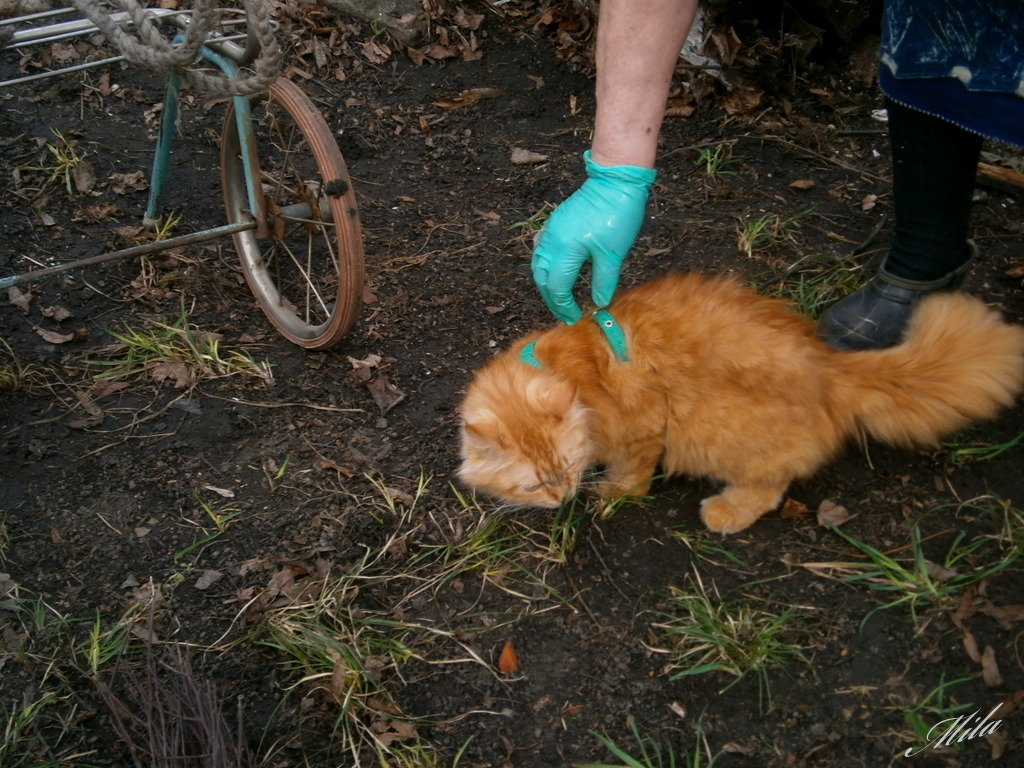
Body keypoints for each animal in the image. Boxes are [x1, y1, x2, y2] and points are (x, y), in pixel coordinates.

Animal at [460, 274, 1024, 536]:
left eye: (567, 467)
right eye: (533, 485)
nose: (562, 499)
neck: (570, 368)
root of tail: (831, 367)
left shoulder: (646, 427)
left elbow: (634, 473)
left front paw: (616, 494)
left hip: (726, 439)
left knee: (770, 488)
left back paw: (726, 512)